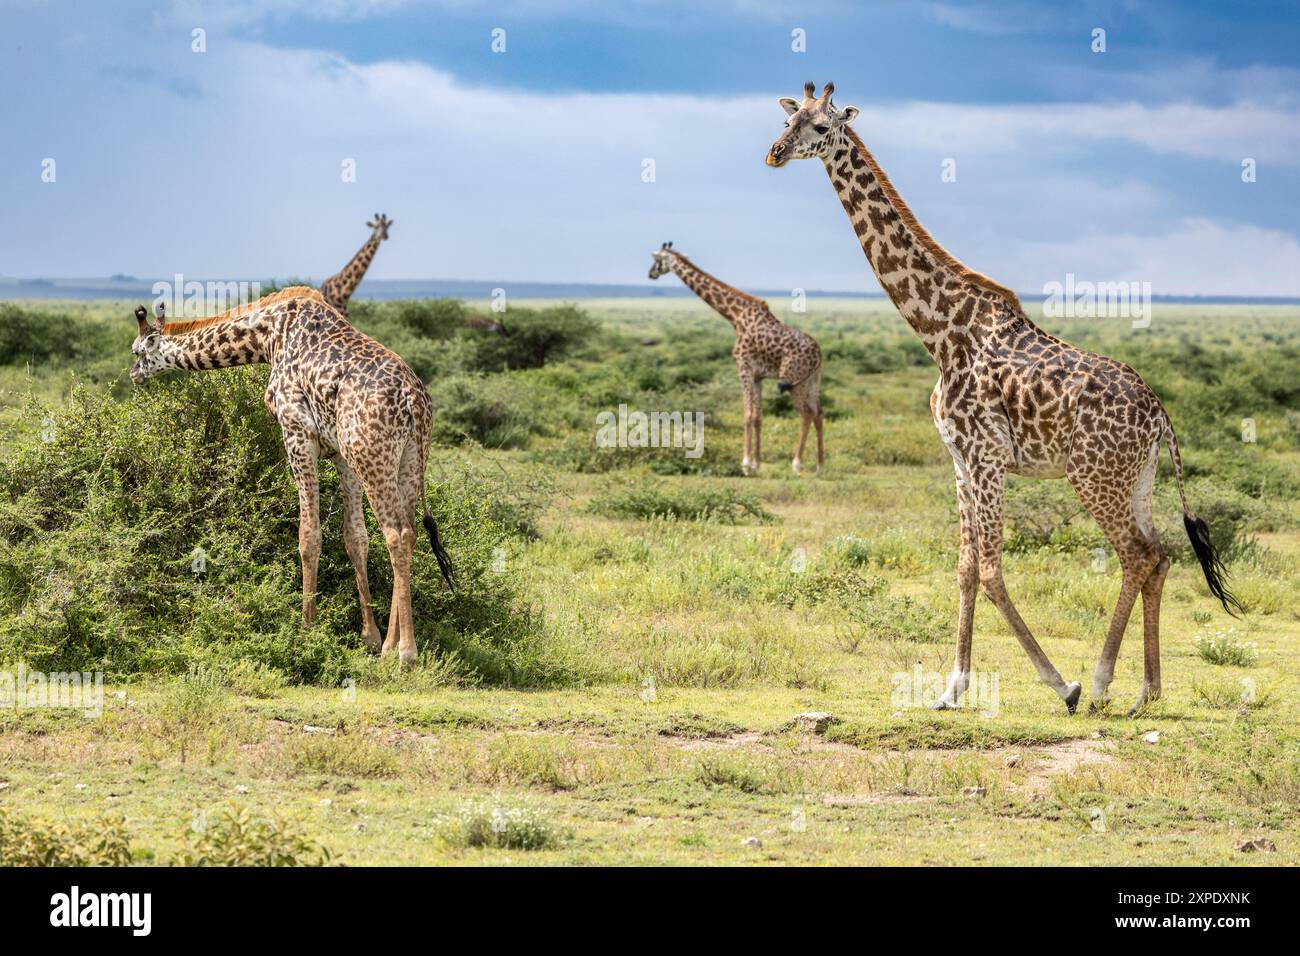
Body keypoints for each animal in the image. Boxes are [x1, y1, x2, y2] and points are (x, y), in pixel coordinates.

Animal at [128, 286, 454, 665]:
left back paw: (403, 650)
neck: (268, 335)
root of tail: (414, 400)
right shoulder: (340, 453)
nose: (134, 374)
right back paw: (389, 643)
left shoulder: (297, 432)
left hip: (373, 456)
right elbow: (355, 537)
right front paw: (369, 636)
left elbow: (308, 535)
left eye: (138, 351)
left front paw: (306, 629)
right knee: (410, 532)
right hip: (408, 460)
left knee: (396, 533)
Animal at [648, 242, 824, 475]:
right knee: (818, 413)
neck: (735, 316)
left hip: (793, 380)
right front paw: (757, 462)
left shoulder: (744, 367)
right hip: (812, 380)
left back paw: (797, 464)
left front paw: (746, 463)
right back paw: (820, 466)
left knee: (806, 414)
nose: (650, 274)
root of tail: (818, 353)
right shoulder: (758, 375)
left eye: (657, 260)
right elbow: (758, 416)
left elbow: (747, 414)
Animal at [766, 82, 1242, 715]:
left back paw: (1099, 682)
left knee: (1136, 556)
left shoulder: (988, 458)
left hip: (1094, 477)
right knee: (1159, 556)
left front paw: (1060, 684)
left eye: (821, 128)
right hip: (1137, 478)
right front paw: (951, 689)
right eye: (789, 119)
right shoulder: (960, 462)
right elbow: (966, 568)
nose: (773, 153)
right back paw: (1148, 691)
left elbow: (991, 570)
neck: (941, 333)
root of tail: (1160, 414)